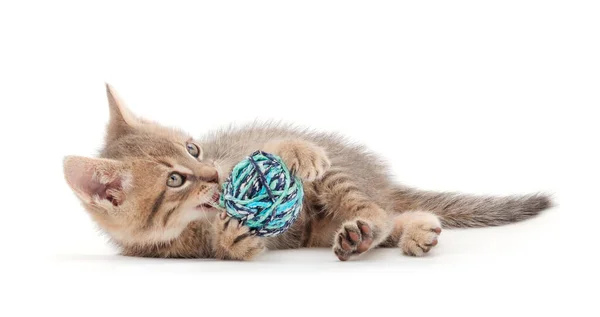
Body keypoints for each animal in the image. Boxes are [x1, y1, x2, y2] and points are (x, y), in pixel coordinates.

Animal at [62, 83, 552, 260]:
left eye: (193, 148)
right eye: (175, 180)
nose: (214, 177)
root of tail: (378, 178)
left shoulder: (228, 154)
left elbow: (260, 149)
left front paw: (293, 150)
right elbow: (227, 249)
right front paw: (233, 239)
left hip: (335, 181)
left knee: (380, 210)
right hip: (322, 229)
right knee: (383, 217)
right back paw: (388, 234)